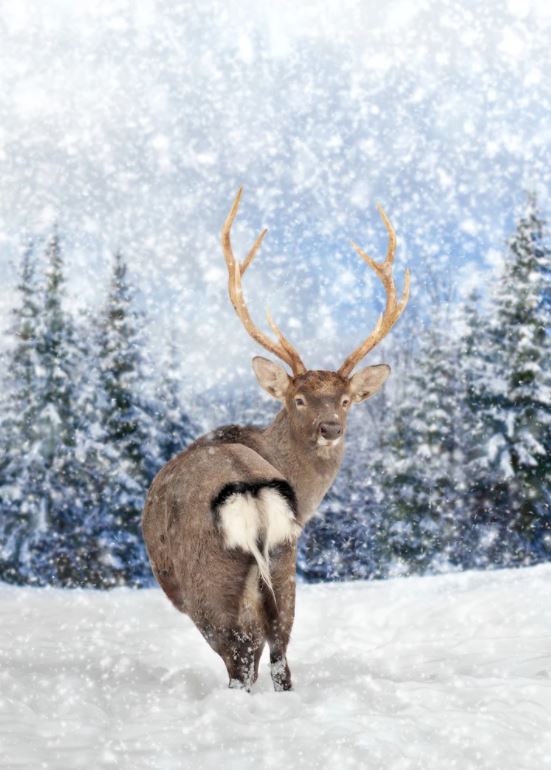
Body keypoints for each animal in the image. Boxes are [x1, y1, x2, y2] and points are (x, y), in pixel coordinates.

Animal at [142, 188, 410, 692]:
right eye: (299, 399)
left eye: (346, 400)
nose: (331, 428)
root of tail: (250, 489)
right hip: (285, 562)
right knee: (281, 656)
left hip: (211, 580)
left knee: (240, 663)